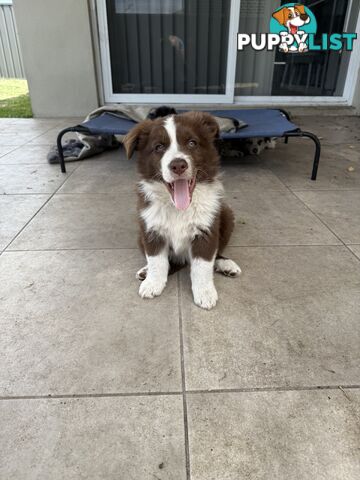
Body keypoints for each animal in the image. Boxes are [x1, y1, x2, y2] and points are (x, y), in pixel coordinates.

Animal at [122, 110, 240, 310]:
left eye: (192, 143)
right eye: (159, 147)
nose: (178, 165)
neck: (177, 208)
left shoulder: (206, 230)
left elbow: (203, 265)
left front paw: (205, 293)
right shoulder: (150, 229)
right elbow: (157, 260)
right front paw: (153, 283)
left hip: (226, 215)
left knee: (216, 253)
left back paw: (226, 264)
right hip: (140, 234)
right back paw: (145, 272)